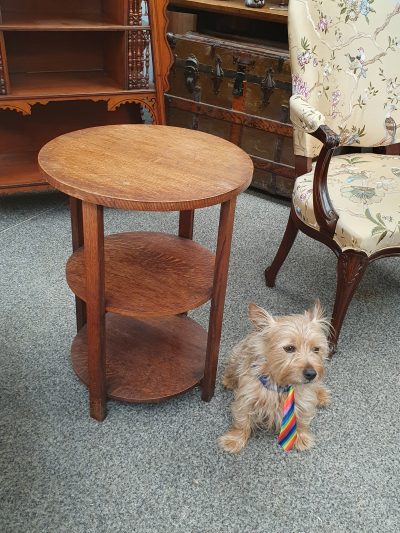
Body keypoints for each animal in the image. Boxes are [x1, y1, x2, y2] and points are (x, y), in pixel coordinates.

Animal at [219, 302, 332, 450]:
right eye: (289, 348)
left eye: (316, 349)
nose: (311, 374)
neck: (280, 382)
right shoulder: (246, 398)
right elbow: (242, 421)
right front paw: (234, 439)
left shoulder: (304, 399)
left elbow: (302, 419)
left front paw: (302, 437)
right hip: (236, 355)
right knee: (232, 368)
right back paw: (229, 380)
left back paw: (322, 395)